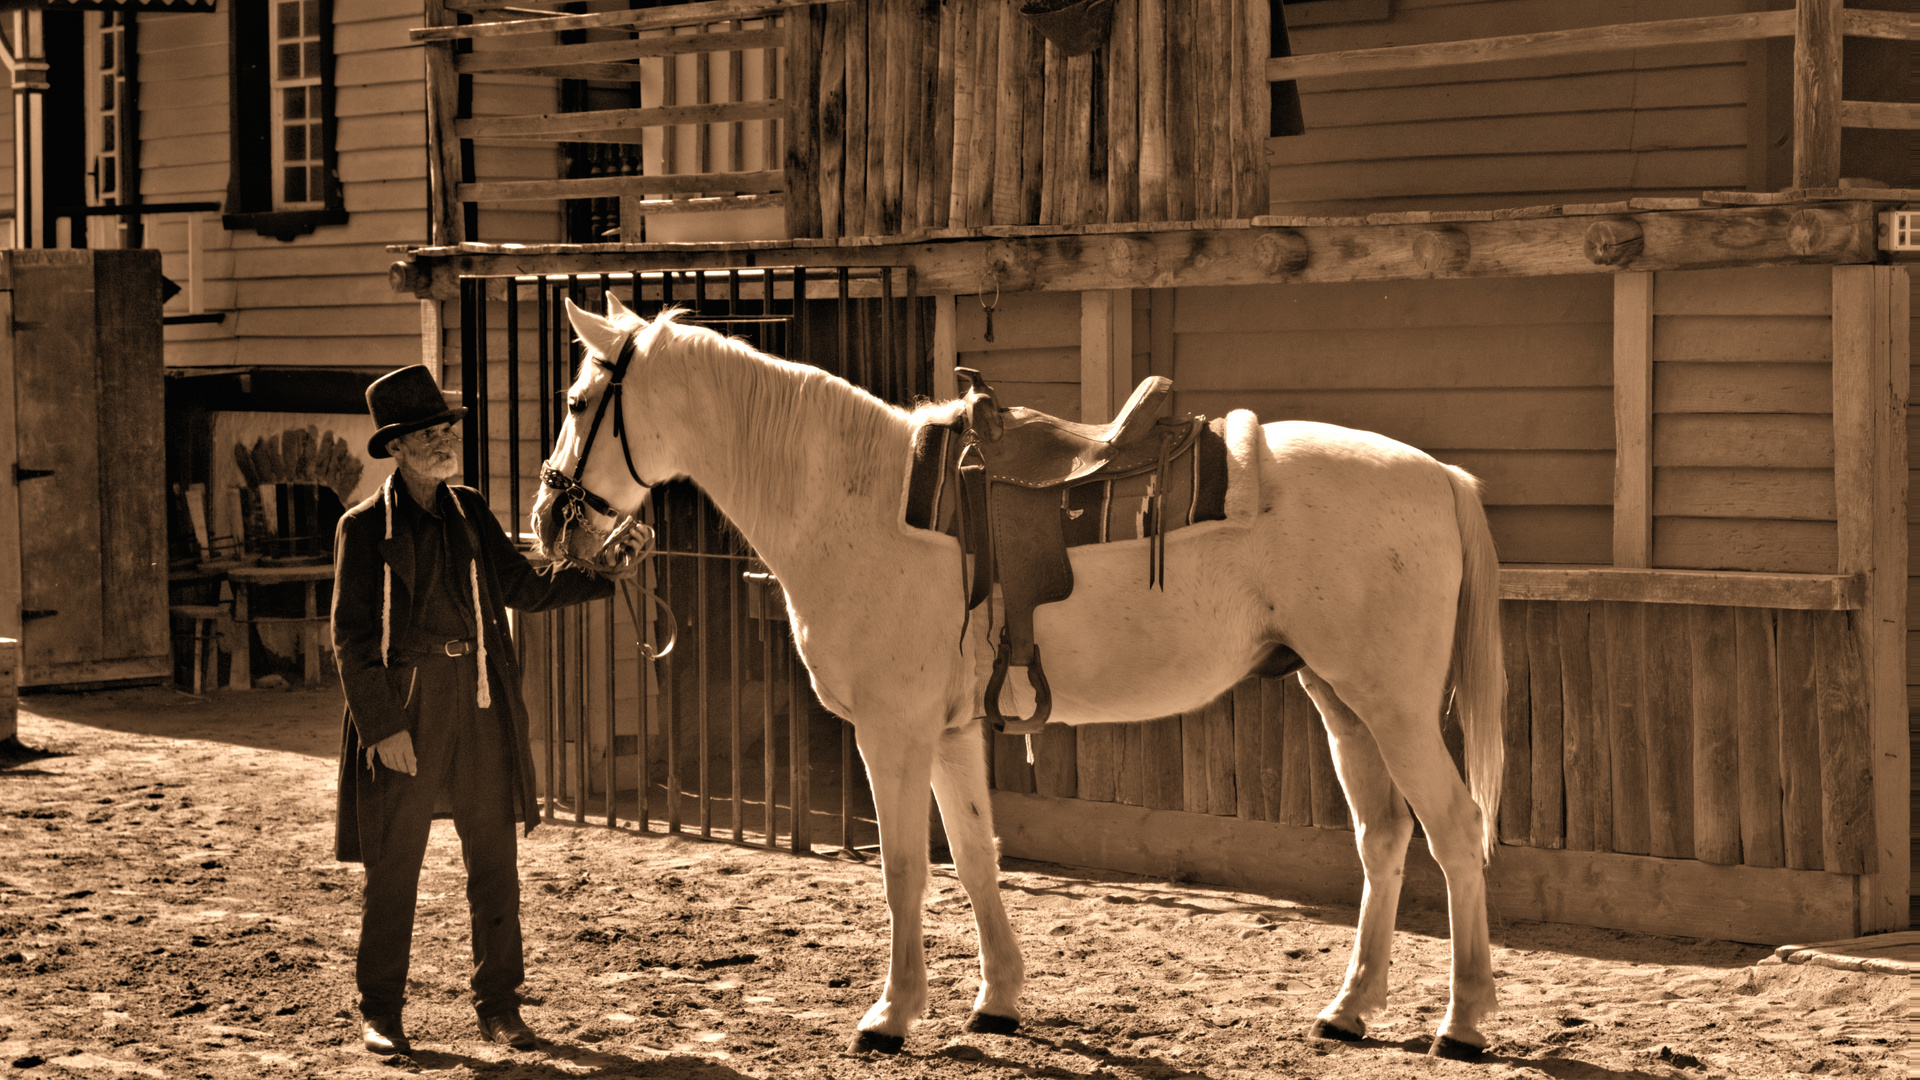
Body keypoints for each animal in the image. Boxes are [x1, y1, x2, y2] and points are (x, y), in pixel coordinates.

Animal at [533, 294, 1505, 1053]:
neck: (857, 499)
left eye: (580, 401)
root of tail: (1442, 477)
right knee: (1384, 836)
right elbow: (974, 856)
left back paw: (1463, 1021)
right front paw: (996, 998)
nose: (549, 518)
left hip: (1394, 707)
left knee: (1455, 831)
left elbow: (904, 869)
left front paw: (891, 1015)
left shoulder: (893, 731)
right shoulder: (952, 731)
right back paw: (1350, 1008)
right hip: (1341, 699)